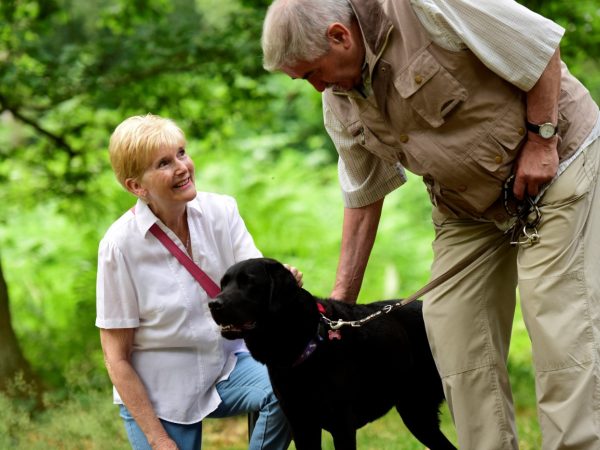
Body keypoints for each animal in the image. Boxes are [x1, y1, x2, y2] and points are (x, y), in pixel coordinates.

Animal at [207, 256, 454, 450]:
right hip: (417, 414)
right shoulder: (301, 424)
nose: (213, 304)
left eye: (249, 282)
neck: (305, 340)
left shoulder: (342, 425)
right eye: (223, 284)